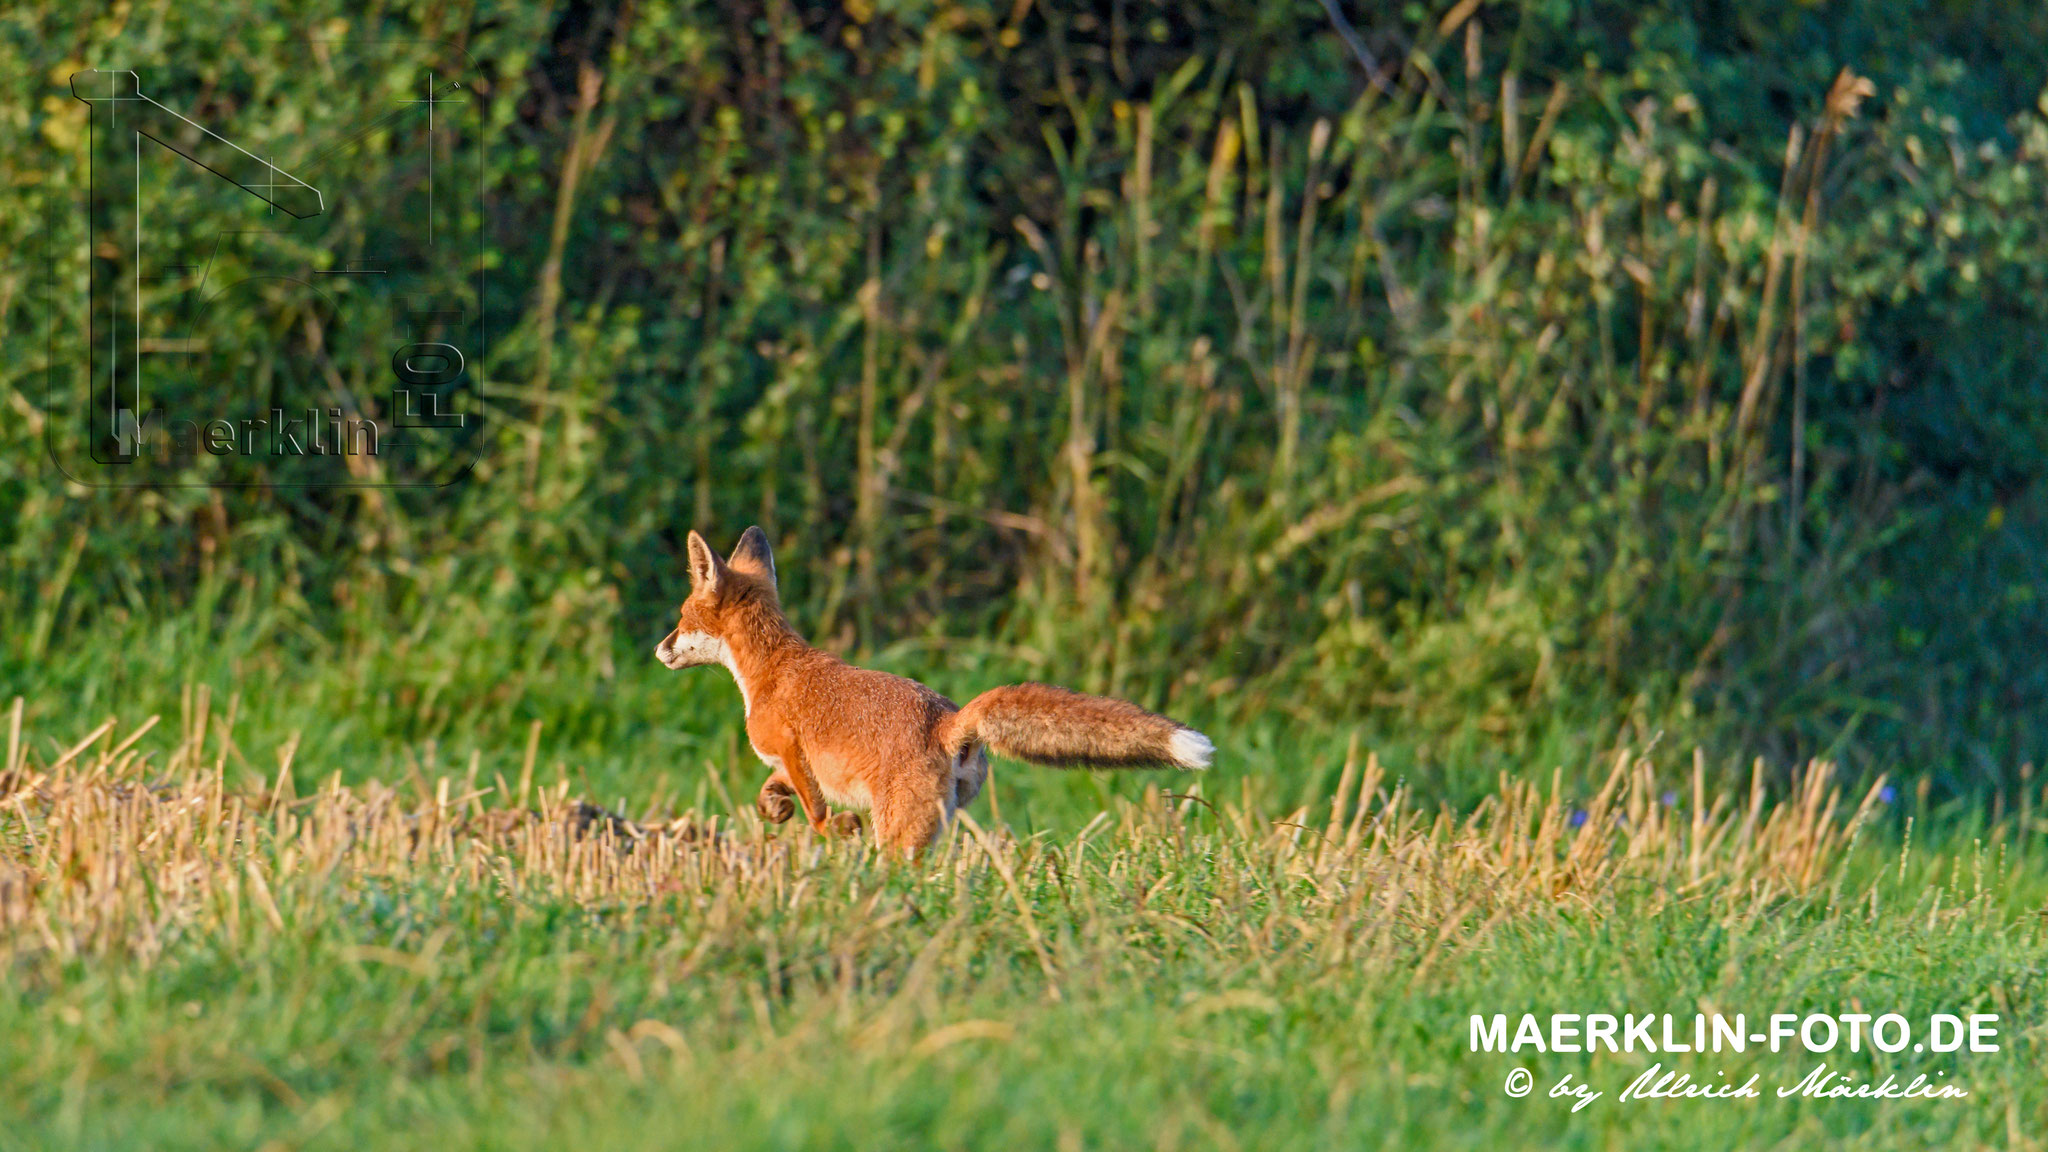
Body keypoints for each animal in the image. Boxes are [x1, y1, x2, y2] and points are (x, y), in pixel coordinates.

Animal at [655, 524, 1204, 848]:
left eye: (680, 619)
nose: (660, 650)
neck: (767, 674)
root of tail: (949, 719)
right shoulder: (788, 765)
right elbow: (774, 794)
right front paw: (775, 808)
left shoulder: (792, 748)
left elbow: (817, 812)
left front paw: (833, 829)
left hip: (898, 835)